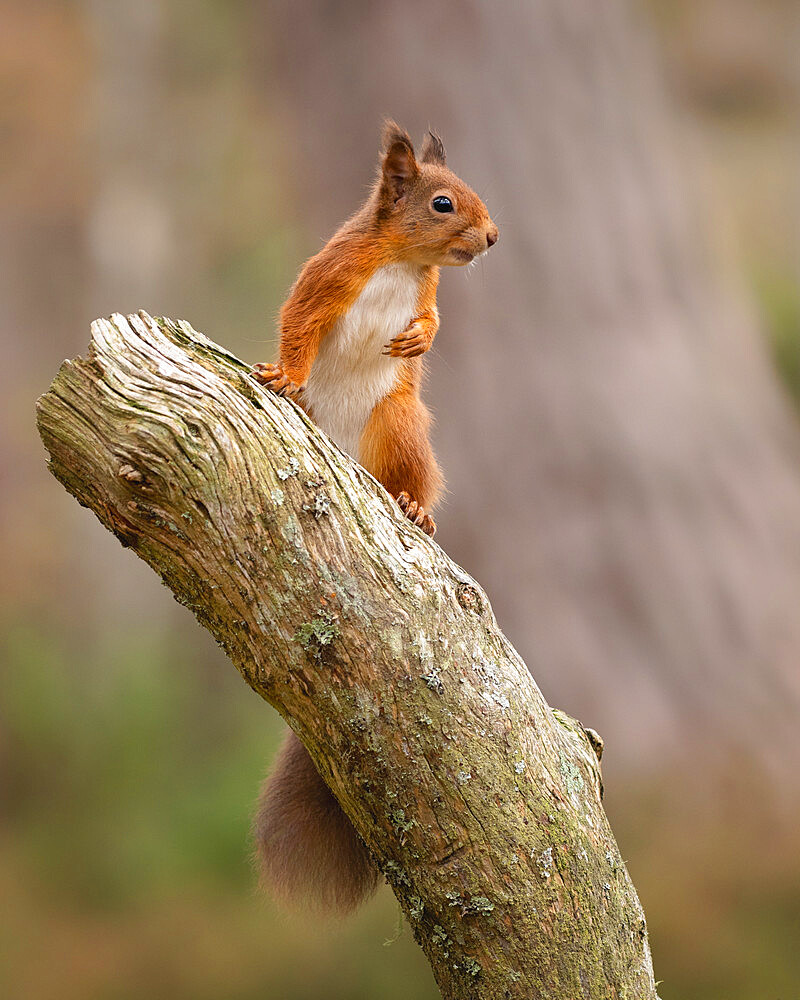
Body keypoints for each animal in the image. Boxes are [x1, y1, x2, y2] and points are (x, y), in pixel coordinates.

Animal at [253, 121, 496, 912]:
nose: (493, 237)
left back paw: (413, 506)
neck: (400, 261)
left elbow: (434, 317)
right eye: (443, 202)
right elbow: (298, 323)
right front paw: (284, 373)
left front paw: (421, 336)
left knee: (408, 475)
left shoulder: (428, 291)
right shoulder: (329, 274)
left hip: (398, 422)